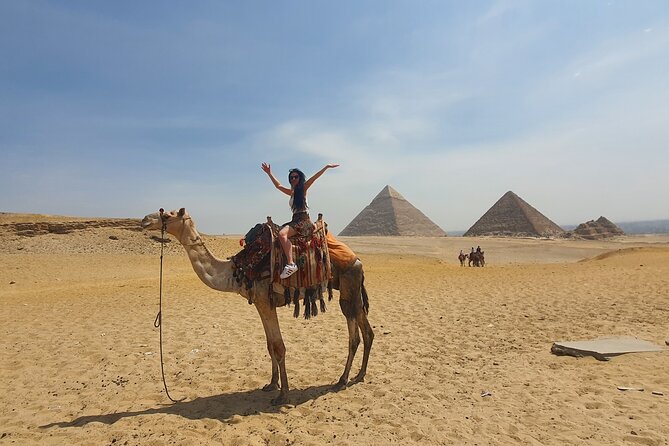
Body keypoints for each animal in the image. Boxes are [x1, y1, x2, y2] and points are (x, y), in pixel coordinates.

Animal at [141, 208, 374, 404]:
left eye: (167, 215)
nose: (144, 220)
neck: (237, 271)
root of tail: (357, 259)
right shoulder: (261, 304)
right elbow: (270, 346)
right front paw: (271, 384)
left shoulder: (266, 301)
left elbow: (279, 347)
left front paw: (283, 395)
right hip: (352, 290)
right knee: (367, 332)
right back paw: (359, 375)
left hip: (349, 287)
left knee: (354, 337)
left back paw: (342, 379)